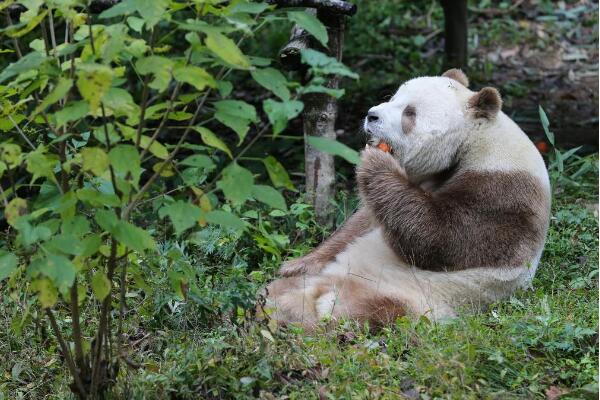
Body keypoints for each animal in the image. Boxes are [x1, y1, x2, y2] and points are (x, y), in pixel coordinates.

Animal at [264, 69, 552, 328]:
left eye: (409, 113)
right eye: (393, 98)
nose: (371, 115)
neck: (472, 140)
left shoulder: (503, 192)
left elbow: (442, 240)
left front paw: (376, 161)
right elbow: (362, 222)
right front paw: (294, 263)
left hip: (412, 294)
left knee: (369, 310)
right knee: (285, 287)